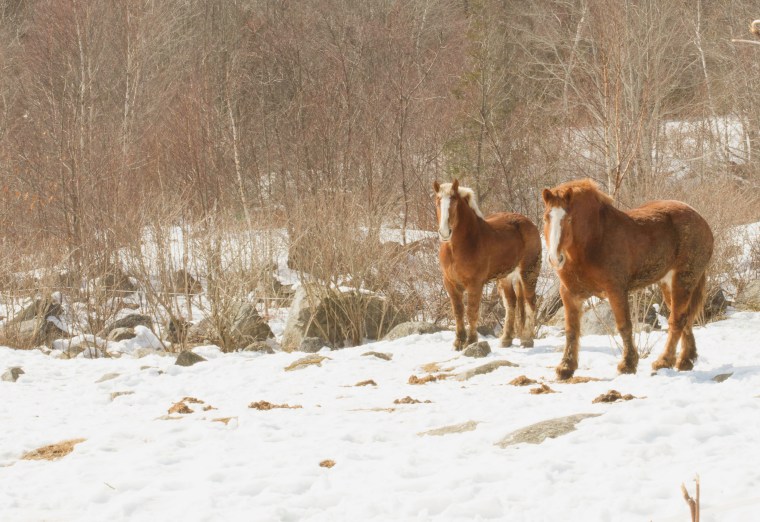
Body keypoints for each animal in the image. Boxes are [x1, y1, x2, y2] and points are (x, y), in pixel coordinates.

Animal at [434, 179, 542, 350]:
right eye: (438, 202)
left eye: (454, 201)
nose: (445, 232)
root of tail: (528, 222)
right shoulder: (450, 283)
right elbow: (458, 311)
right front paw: (458, 342)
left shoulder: (475, 284)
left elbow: (472, 312)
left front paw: (471, 342)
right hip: (505, 277)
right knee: (511, 304)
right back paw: (506, 339)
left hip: (528, 273)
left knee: (530, 302)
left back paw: (526, 339)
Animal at [541, 179, 714, 379]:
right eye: (546, 218)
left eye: (569, 219)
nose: (555, 259)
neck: (594, 240)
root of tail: (700, 218)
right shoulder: (570, 294)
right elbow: (571, 330)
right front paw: (566, 367)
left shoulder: (616, 290)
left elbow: (624, 326)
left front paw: (627, 364)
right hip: (668, 284)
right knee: (685, 318)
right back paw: (686, 360)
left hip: (683, 280)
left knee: (676, 320)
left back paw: (664, 361)